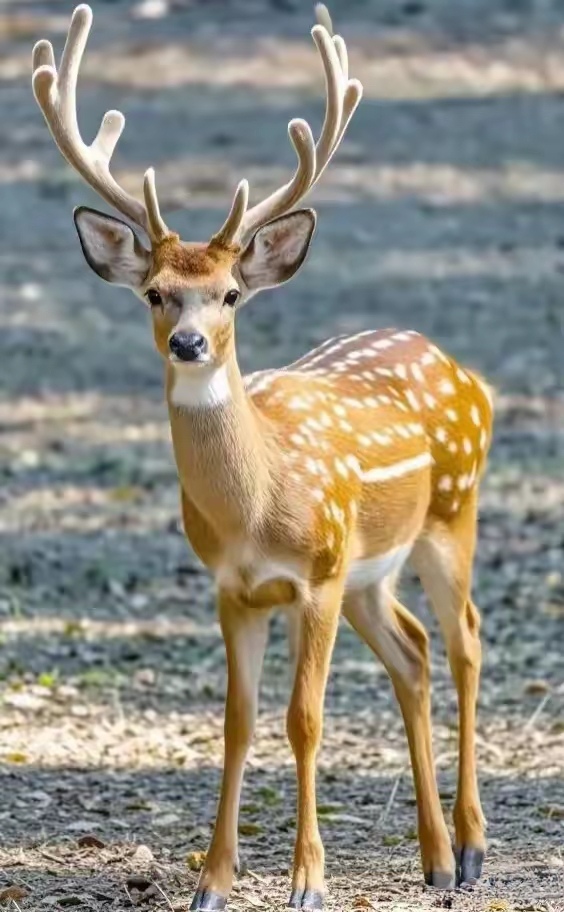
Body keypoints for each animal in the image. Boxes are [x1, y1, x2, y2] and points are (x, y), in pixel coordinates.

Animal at [32, 4, 493, 909]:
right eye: (156, 292)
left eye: (231, 294)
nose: (189, 342)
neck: (256, 506)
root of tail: (466, 372)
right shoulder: (233, 588)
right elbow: (237, 722)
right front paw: (213, 880)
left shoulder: (314, 576)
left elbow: (302, 719)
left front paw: (308, 881)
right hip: (371, 572)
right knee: (415, 654)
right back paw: (432, 858)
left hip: (448, 517)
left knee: (464, 642)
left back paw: (472, 847)